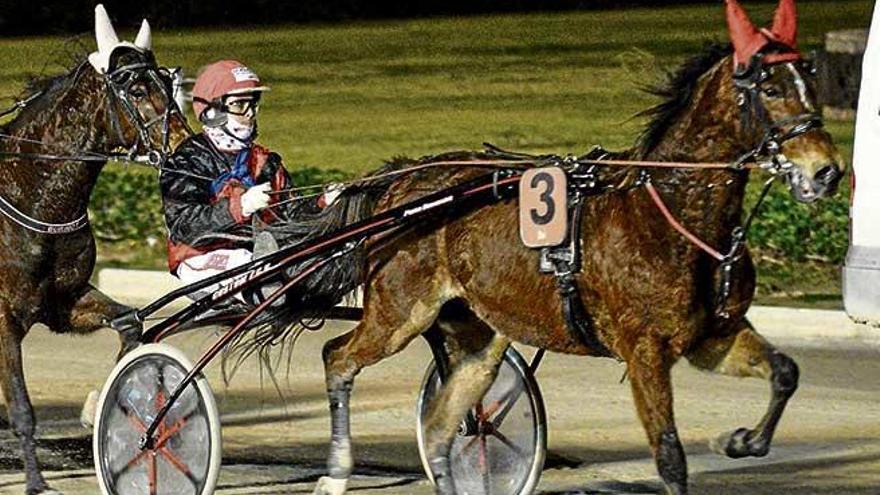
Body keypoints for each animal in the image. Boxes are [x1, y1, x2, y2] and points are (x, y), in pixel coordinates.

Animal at [0, 5, 187, 494]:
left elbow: (129, 323)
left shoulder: (62, 302)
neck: (33, 195)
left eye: (168, 85)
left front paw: (103, 406)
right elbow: (21, 408)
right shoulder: (4, 316)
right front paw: (36, 481)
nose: (183, 148)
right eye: (137, 89)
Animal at [310, 0, 844, 495]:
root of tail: (401, 183)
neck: (671, 215)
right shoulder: (644, 349)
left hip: (475, 335)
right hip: (400, 313)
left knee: (441, 428)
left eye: (810, 79)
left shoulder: (714, 336)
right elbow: (670, 456)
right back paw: (334, 473)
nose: (827, 170)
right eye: (771, 88)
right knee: (338, 358)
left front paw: (740, 440)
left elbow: (786, 372)